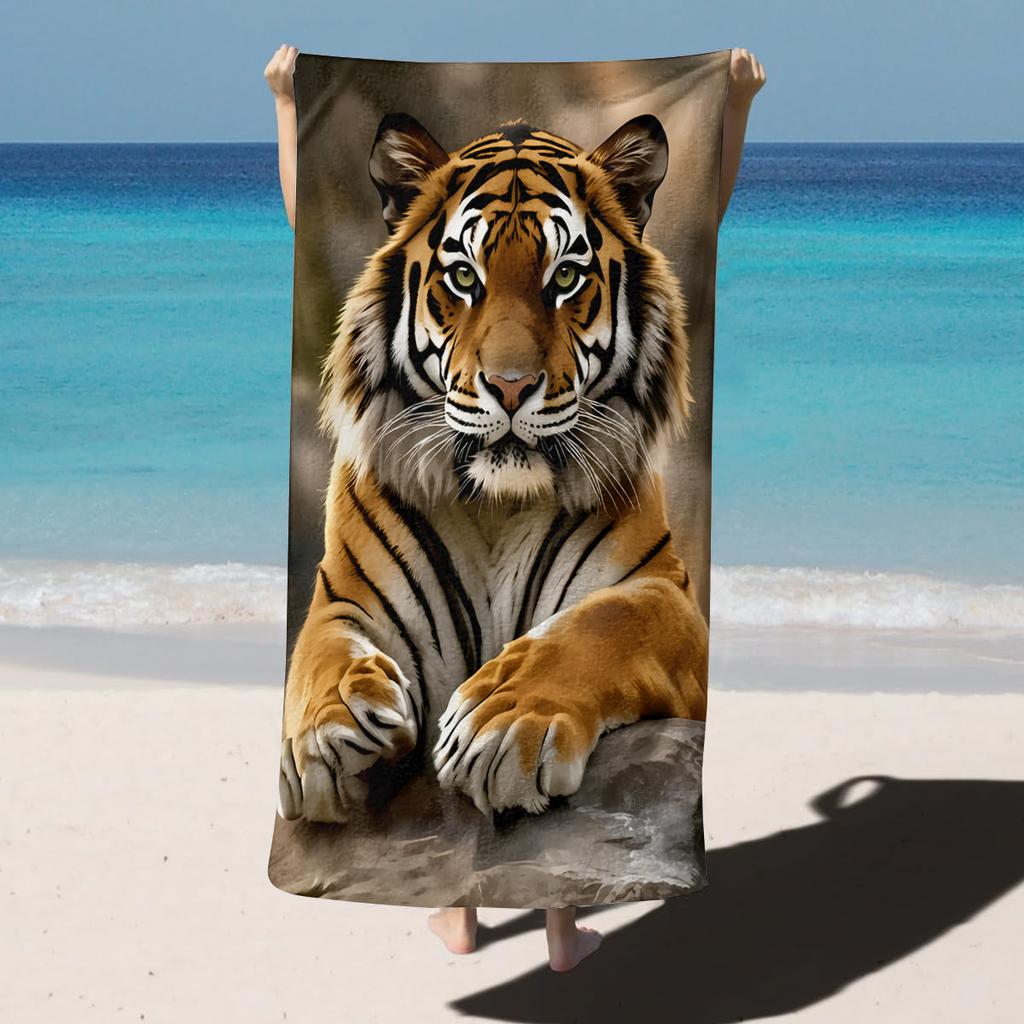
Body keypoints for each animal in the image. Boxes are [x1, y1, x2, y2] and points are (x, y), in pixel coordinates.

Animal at [277, 112, 709, 824]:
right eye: (463, 277)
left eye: (564, 278)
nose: (510, 386)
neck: (497, 508)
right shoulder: (345, 600)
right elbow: (322, 653)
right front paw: (331, 727)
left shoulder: (664, 594)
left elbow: (602, 625)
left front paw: (501, 725)